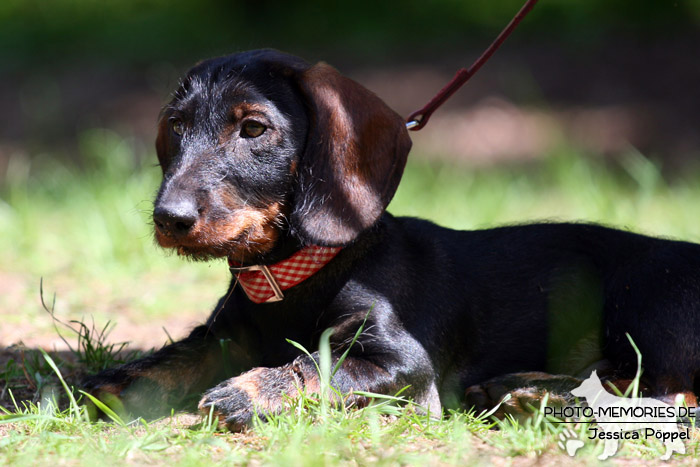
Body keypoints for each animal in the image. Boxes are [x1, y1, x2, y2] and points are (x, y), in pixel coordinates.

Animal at [85, 49, 700, 430]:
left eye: (253, 128)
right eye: (176, 126)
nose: (168, 217)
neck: (297, 275)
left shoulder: (401, 359)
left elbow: (317, 363)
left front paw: (250, 391)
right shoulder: (224, 336)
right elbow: (179, 354)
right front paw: (117, 383)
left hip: (648, 302)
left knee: (664, 392)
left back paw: (535, 397)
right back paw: (520, 391)